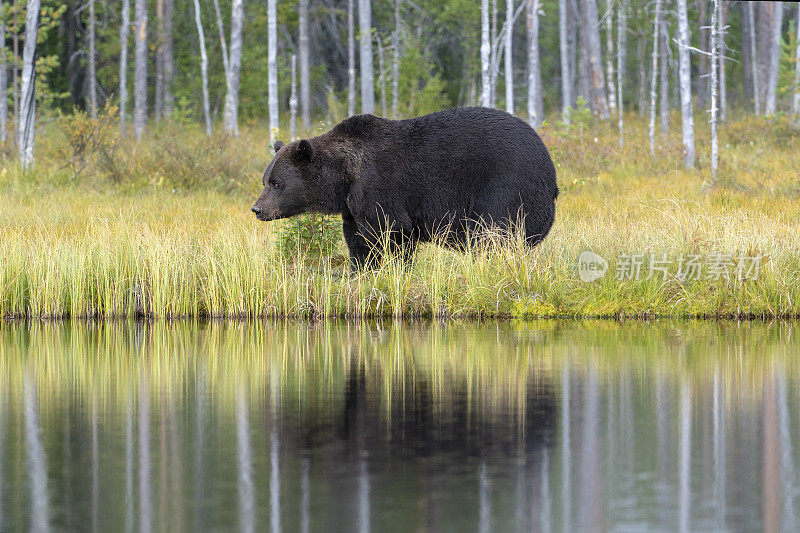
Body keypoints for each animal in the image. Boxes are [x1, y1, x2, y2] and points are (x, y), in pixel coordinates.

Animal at [253, 106, 560, 268]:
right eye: (265, 180)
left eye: (277, 183)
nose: (257, 208)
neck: (345, 175)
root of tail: (550, 169)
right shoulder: (353, 205)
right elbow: (357, 238)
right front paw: (359, 269)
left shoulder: (380, 187)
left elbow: (392, 230)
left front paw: (391, 267)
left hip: (506, 187)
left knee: (494, 231)